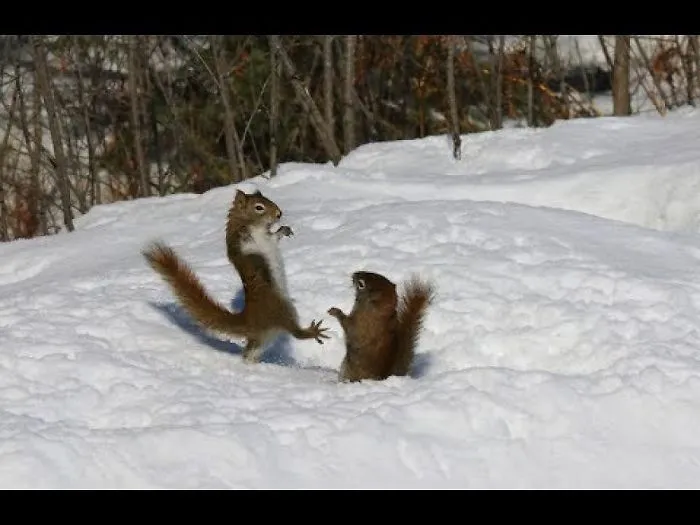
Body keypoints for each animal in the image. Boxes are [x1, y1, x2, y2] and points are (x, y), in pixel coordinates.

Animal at [142, 188, 330, 363]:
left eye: (267, 199)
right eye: (259, 207)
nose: (279, 214)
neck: (254, 227)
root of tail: (250, 322)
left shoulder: (268, 239)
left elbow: (274, 237)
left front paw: (284, 230)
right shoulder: (243, 246)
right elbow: (252, 257)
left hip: (263, 338)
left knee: (250, 352)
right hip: (282, 309)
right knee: (295, 332)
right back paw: (312, 332)